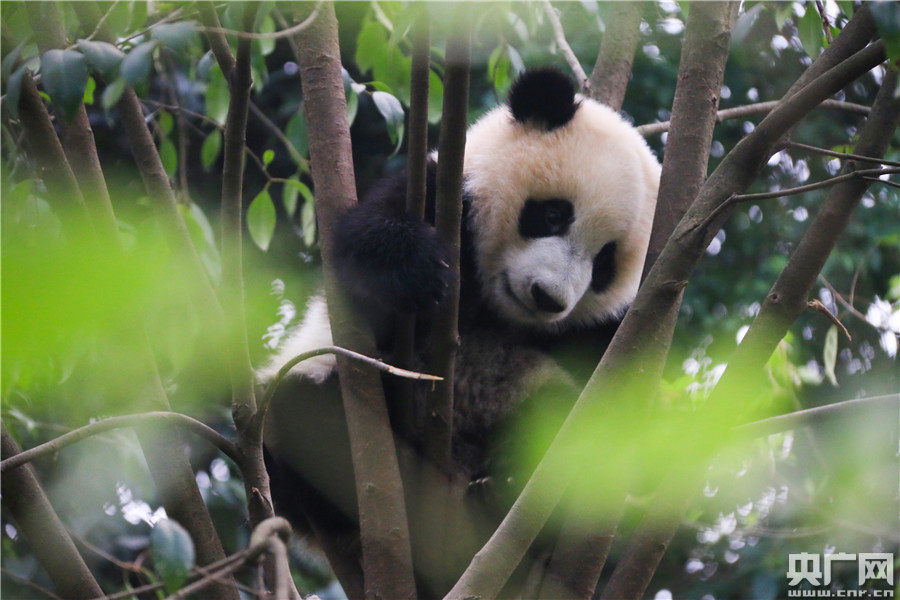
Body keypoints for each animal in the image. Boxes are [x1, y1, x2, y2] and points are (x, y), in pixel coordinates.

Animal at [256, 68, 656, 592]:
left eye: (605, 263)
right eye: (552, 214)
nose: (548, 298)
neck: (494, 307)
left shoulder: (611, 330)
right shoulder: (440, 191)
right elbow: (364, 259)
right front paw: (416, 268)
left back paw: (504, 488)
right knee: (309, 415)